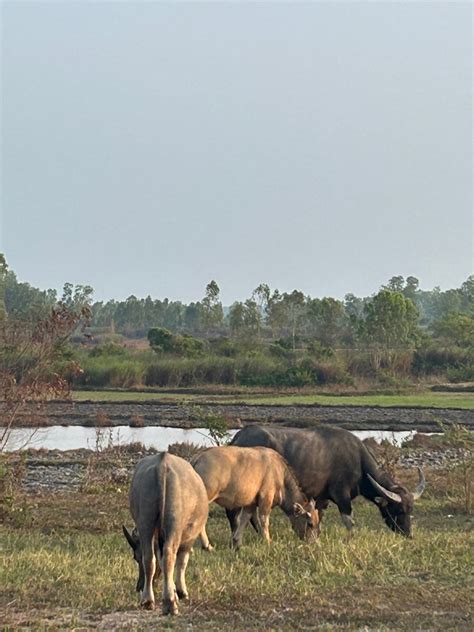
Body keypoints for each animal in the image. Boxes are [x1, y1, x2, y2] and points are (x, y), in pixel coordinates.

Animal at [123, 452, 208, 616]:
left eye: (135, 558)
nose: (139, 586)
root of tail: (162, 465)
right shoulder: (189, 538)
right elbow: (182, 562)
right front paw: (180, 592)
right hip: (174, 522)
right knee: (169, 556)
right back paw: (170, 603)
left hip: (145, 521)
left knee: (150, 558)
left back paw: (147, 600)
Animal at [230, 424, 426, 540]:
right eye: (398, 510)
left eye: (411, 510)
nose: (409, 534)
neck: (358, 460)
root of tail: (239, 436)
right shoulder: (341, 496)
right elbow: (349, 521)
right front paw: (351, 538)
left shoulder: (322, 497)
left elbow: (319, 517)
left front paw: (317, 535)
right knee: (234, 513)